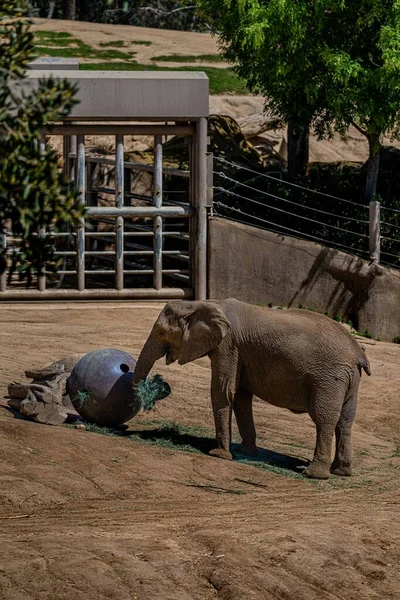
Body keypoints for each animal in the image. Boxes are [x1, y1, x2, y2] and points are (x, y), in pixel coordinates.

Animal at [134, 298, 372, 478]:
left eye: (162, 333)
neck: (203, 303)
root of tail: (358, 353)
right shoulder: (239, 352)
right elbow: (240, 397)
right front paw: (244, 451)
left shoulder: (228, 345)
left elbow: (223, 390)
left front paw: (218, 454)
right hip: (348, 380)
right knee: (345, 421)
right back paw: (341, 472)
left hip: (330, 378)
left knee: (324, 419)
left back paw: (313, 474)